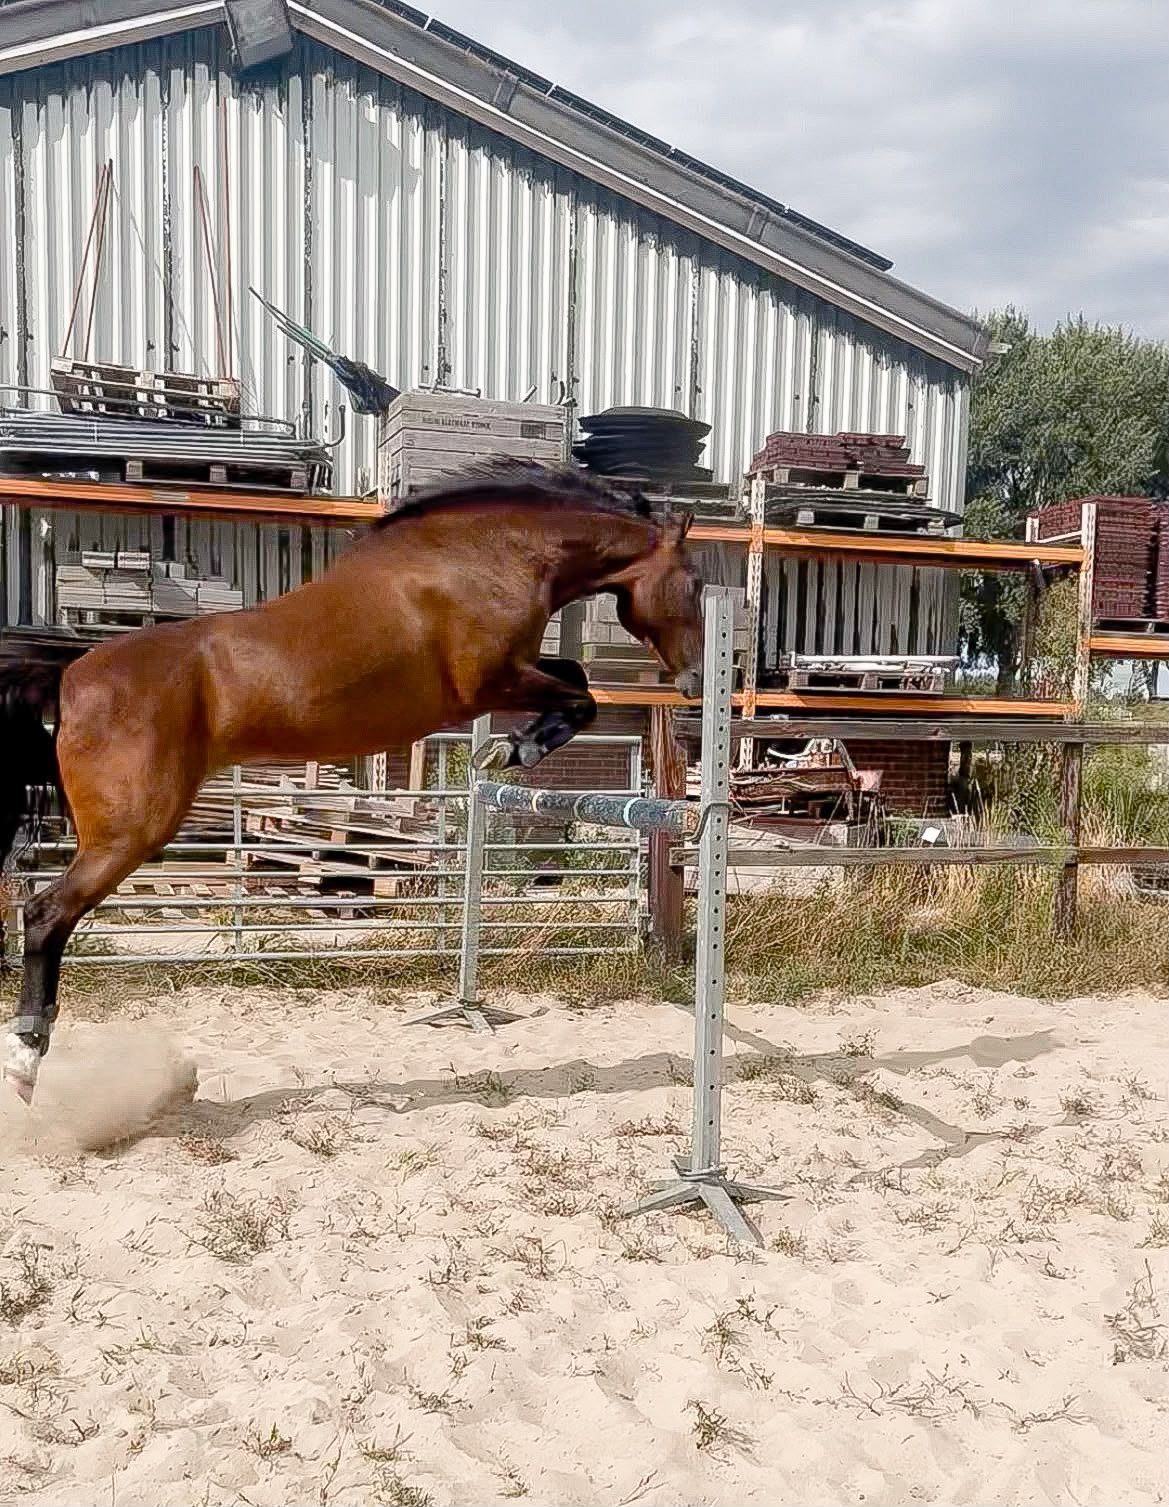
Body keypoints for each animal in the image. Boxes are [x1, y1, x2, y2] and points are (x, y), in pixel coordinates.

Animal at [0, 460, 704, 1102]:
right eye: (697, 584)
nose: (696, 681)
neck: (486, 558)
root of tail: (70, 677)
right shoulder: (488, 682)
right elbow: (581, 695)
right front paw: (517, 748)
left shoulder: (511, 676)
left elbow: (575, 678)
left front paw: (510, 748)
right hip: (131, 832)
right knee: (45, 913)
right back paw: (29, 1053)